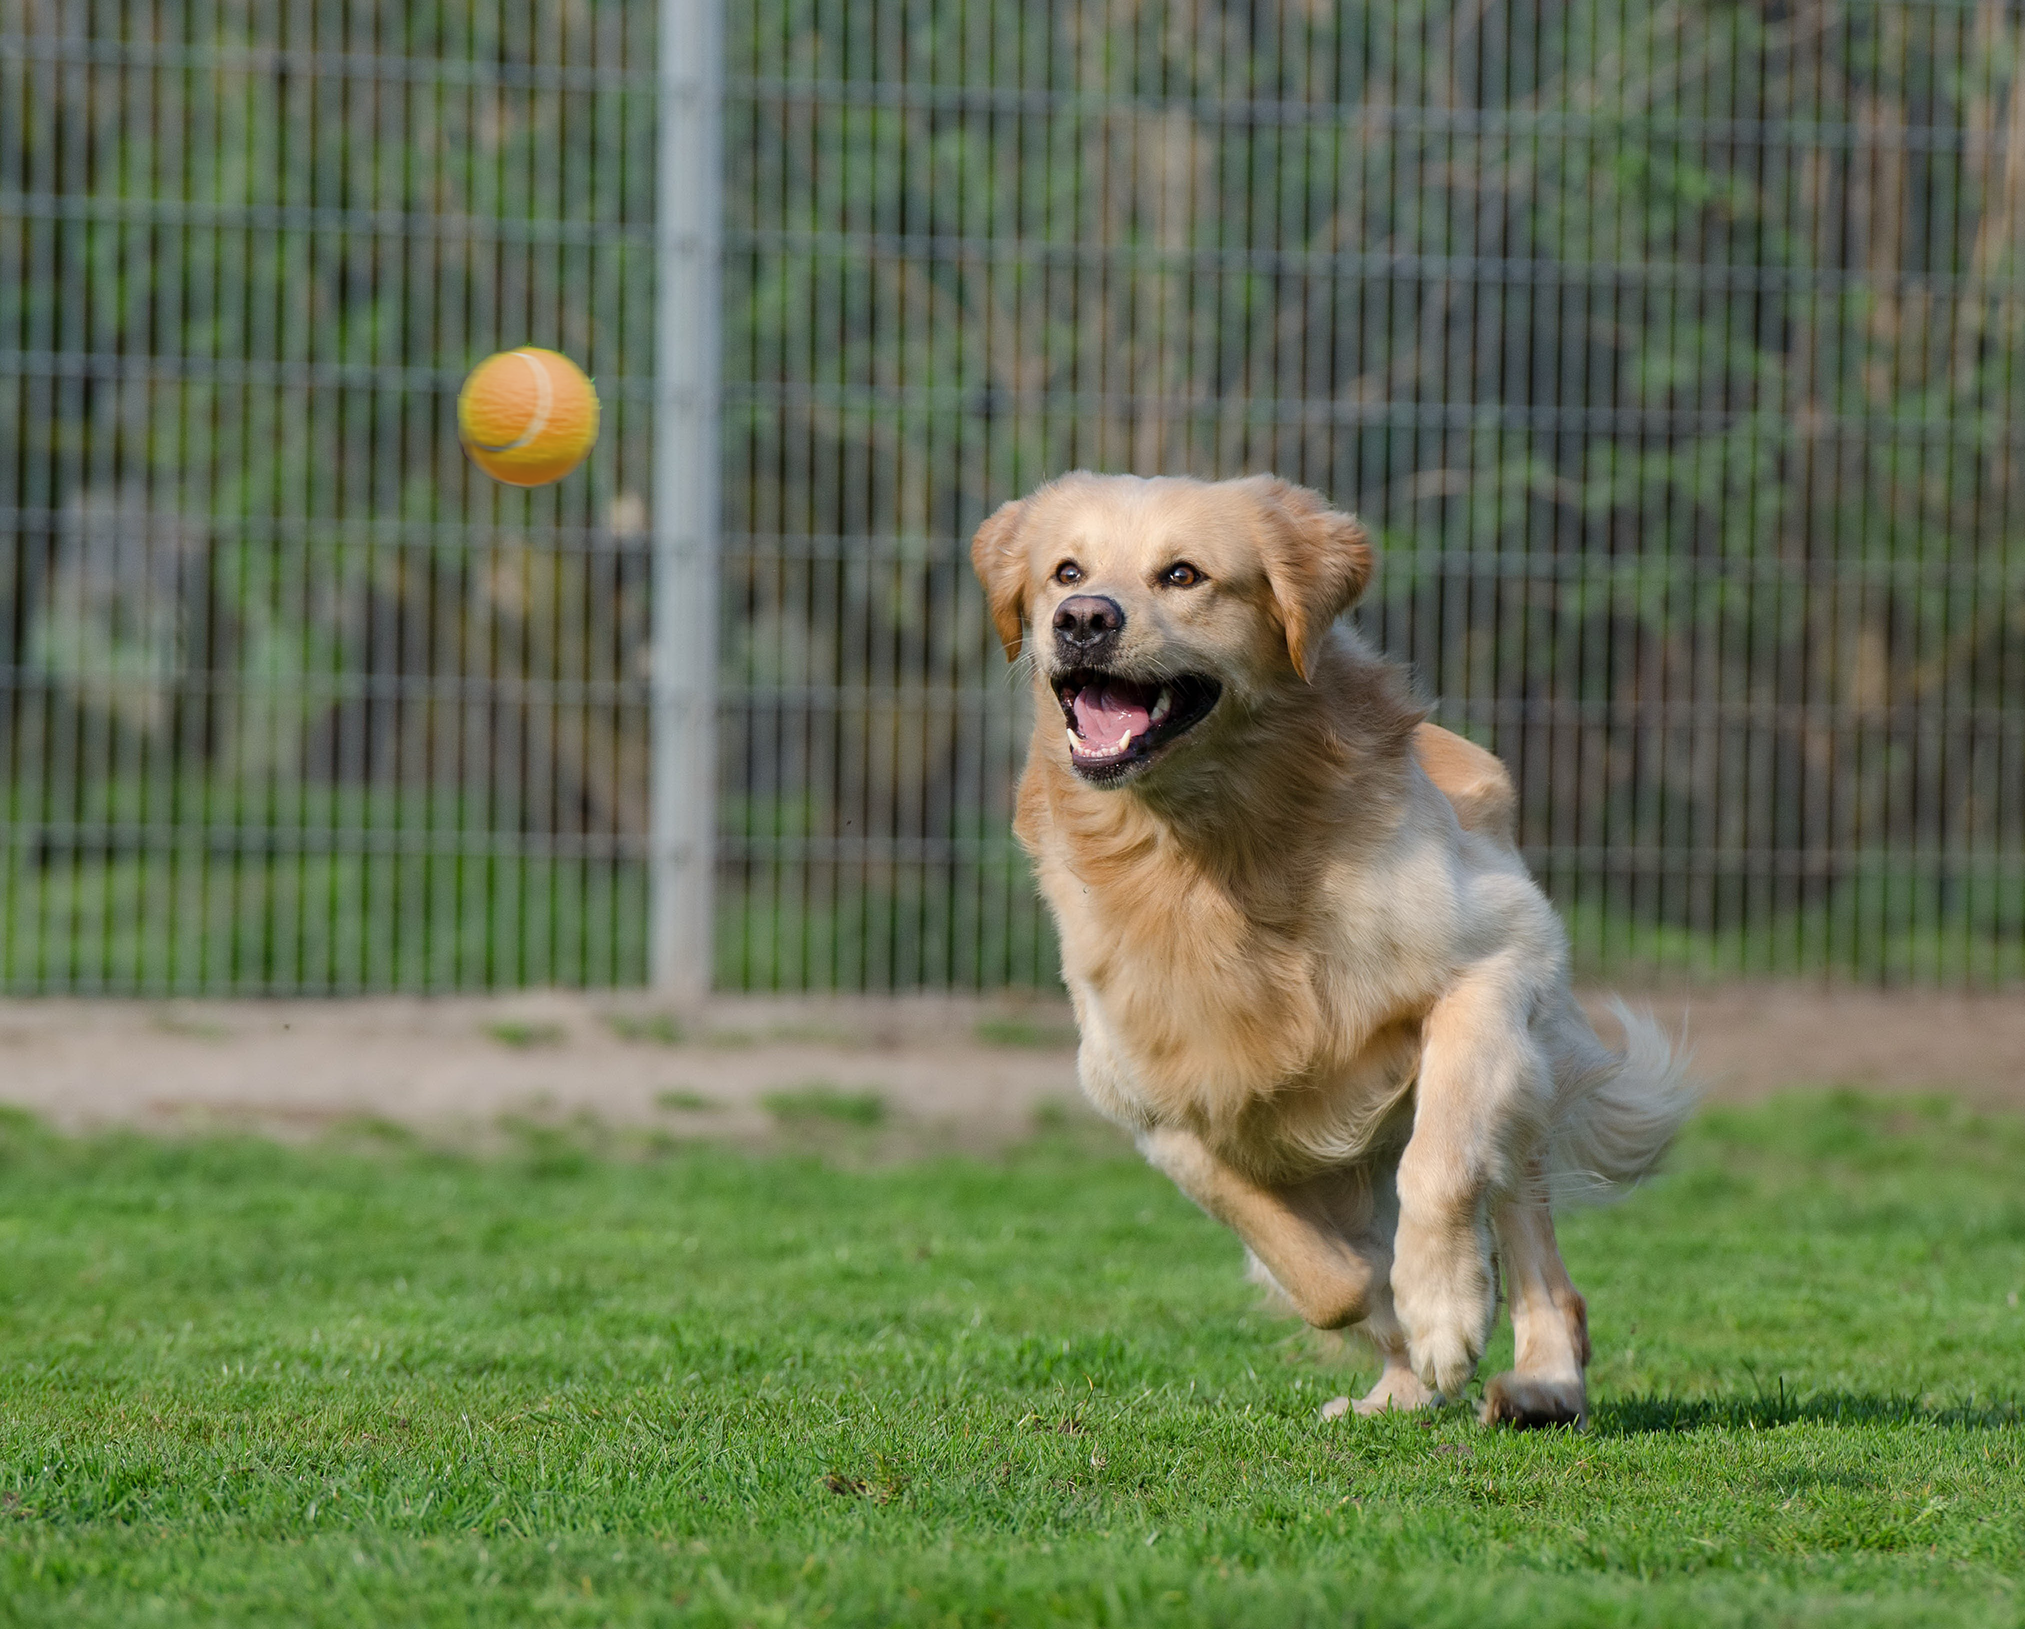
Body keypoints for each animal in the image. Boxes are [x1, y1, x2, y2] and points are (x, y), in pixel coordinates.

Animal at [967, 470, 1692, 1426]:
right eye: (1065, 571)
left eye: (1182, 574)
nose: (1082, 618)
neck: (1208, 850)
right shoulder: (1154, 1105)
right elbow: (1323, 1274)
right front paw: (1400, 1320)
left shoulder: (1496, 962)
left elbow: (1440, 1162)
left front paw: (1444, 1306)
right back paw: (1395, 1388)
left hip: (1523, 1066)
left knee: (1527, 1232)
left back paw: (1541, 1377)